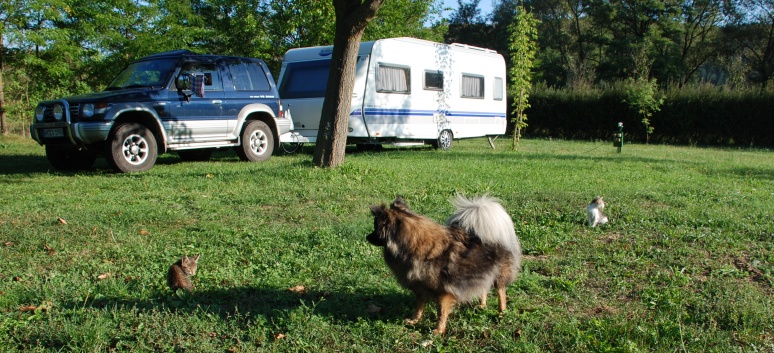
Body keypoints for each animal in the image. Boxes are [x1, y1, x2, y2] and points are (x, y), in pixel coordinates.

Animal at [368, 194, 524, 334]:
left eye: (375, 227)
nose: (366, 236)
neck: (414, 245)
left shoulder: (443, 291)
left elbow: (441, 312)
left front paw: (439, 330)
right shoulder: (420, 289)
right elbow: (419, 307)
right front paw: (414, 320)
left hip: (499, 274)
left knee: (501, 292)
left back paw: (501, 313)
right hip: (483, 271)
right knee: (484, 288)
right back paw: (481, 306)